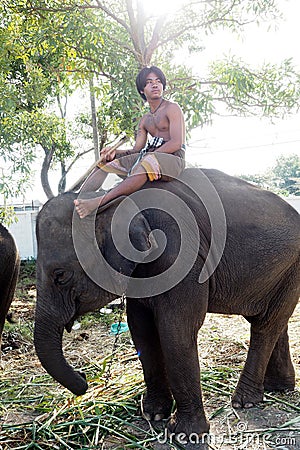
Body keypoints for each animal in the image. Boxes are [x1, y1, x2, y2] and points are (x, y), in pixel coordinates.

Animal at [34, 168, 298, 436]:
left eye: (60, 275)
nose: (84, 379)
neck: (110, 198)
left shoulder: (180, 257)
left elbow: (176, 330)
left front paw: (186, 433)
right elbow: (142, 330)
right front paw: (154, 414)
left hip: (291, 264)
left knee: (265, 326)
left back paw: (245, 402)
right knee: (274, 320)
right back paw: (278, 388)